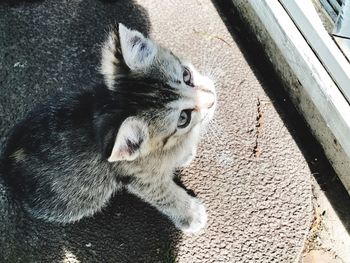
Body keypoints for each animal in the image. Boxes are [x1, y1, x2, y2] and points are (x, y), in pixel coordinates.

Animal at [0, 23, 216, 234]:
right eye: (183, 119)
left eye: (187, 75)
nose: (213, 99)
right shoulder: (137, 175)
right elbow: (163, 193)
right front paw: (191, 214)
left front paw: (184, 153)